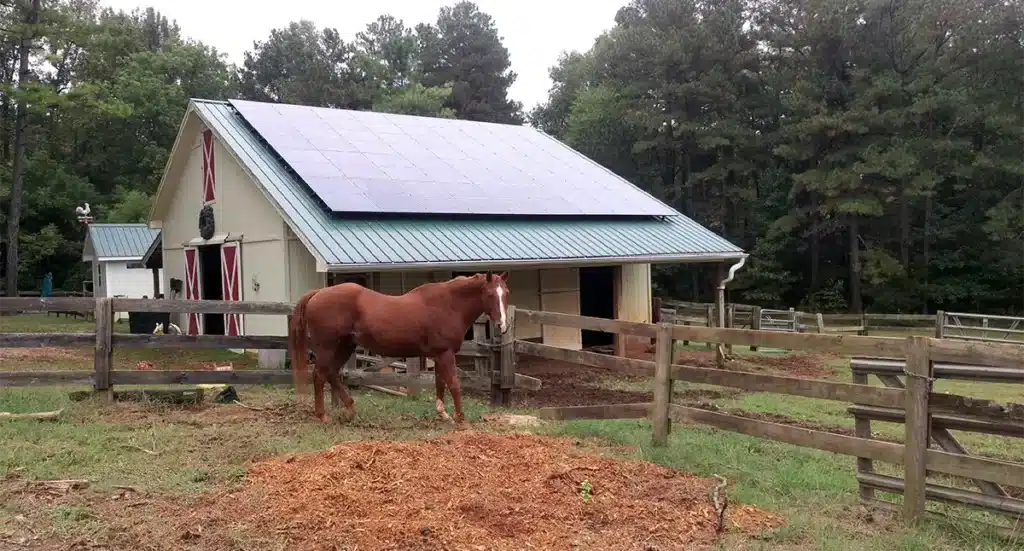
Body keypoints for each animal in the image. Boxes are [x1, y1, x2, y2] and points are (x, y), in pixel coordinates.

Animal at [288, 272, 512, 421]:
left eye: (506, 293)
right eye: (490, 294)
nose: (502, 325)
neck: (448, 304)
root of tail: (318, 293)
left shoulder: (438, 355)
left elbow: (440, 382)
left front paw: (443, 414)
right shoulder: (445, 354)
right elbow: (454, 384)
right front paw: (461, 419)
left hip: (345, 346)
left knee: (331, 373)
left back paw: (349, 409)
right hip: (328, 348)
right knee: (320, 375)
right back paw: (323, 416)